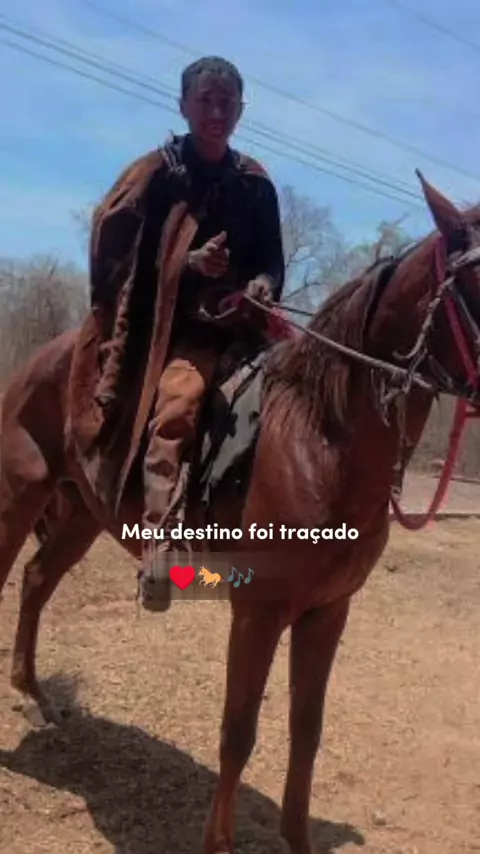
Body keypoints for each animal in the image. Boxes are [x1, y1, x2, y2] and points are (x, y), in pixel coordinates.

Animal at [1, 173, 480, 854]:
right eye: (479, 278)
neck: (319, 439)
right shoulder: (258, 611)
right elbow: (239, 731)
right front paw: (218, 843)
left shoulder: (327, 612)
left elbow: (306, 730)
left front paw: (298, 838)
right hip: (19, 495)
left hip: (81, 516)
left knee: (38, 579)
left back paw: (39, 698)